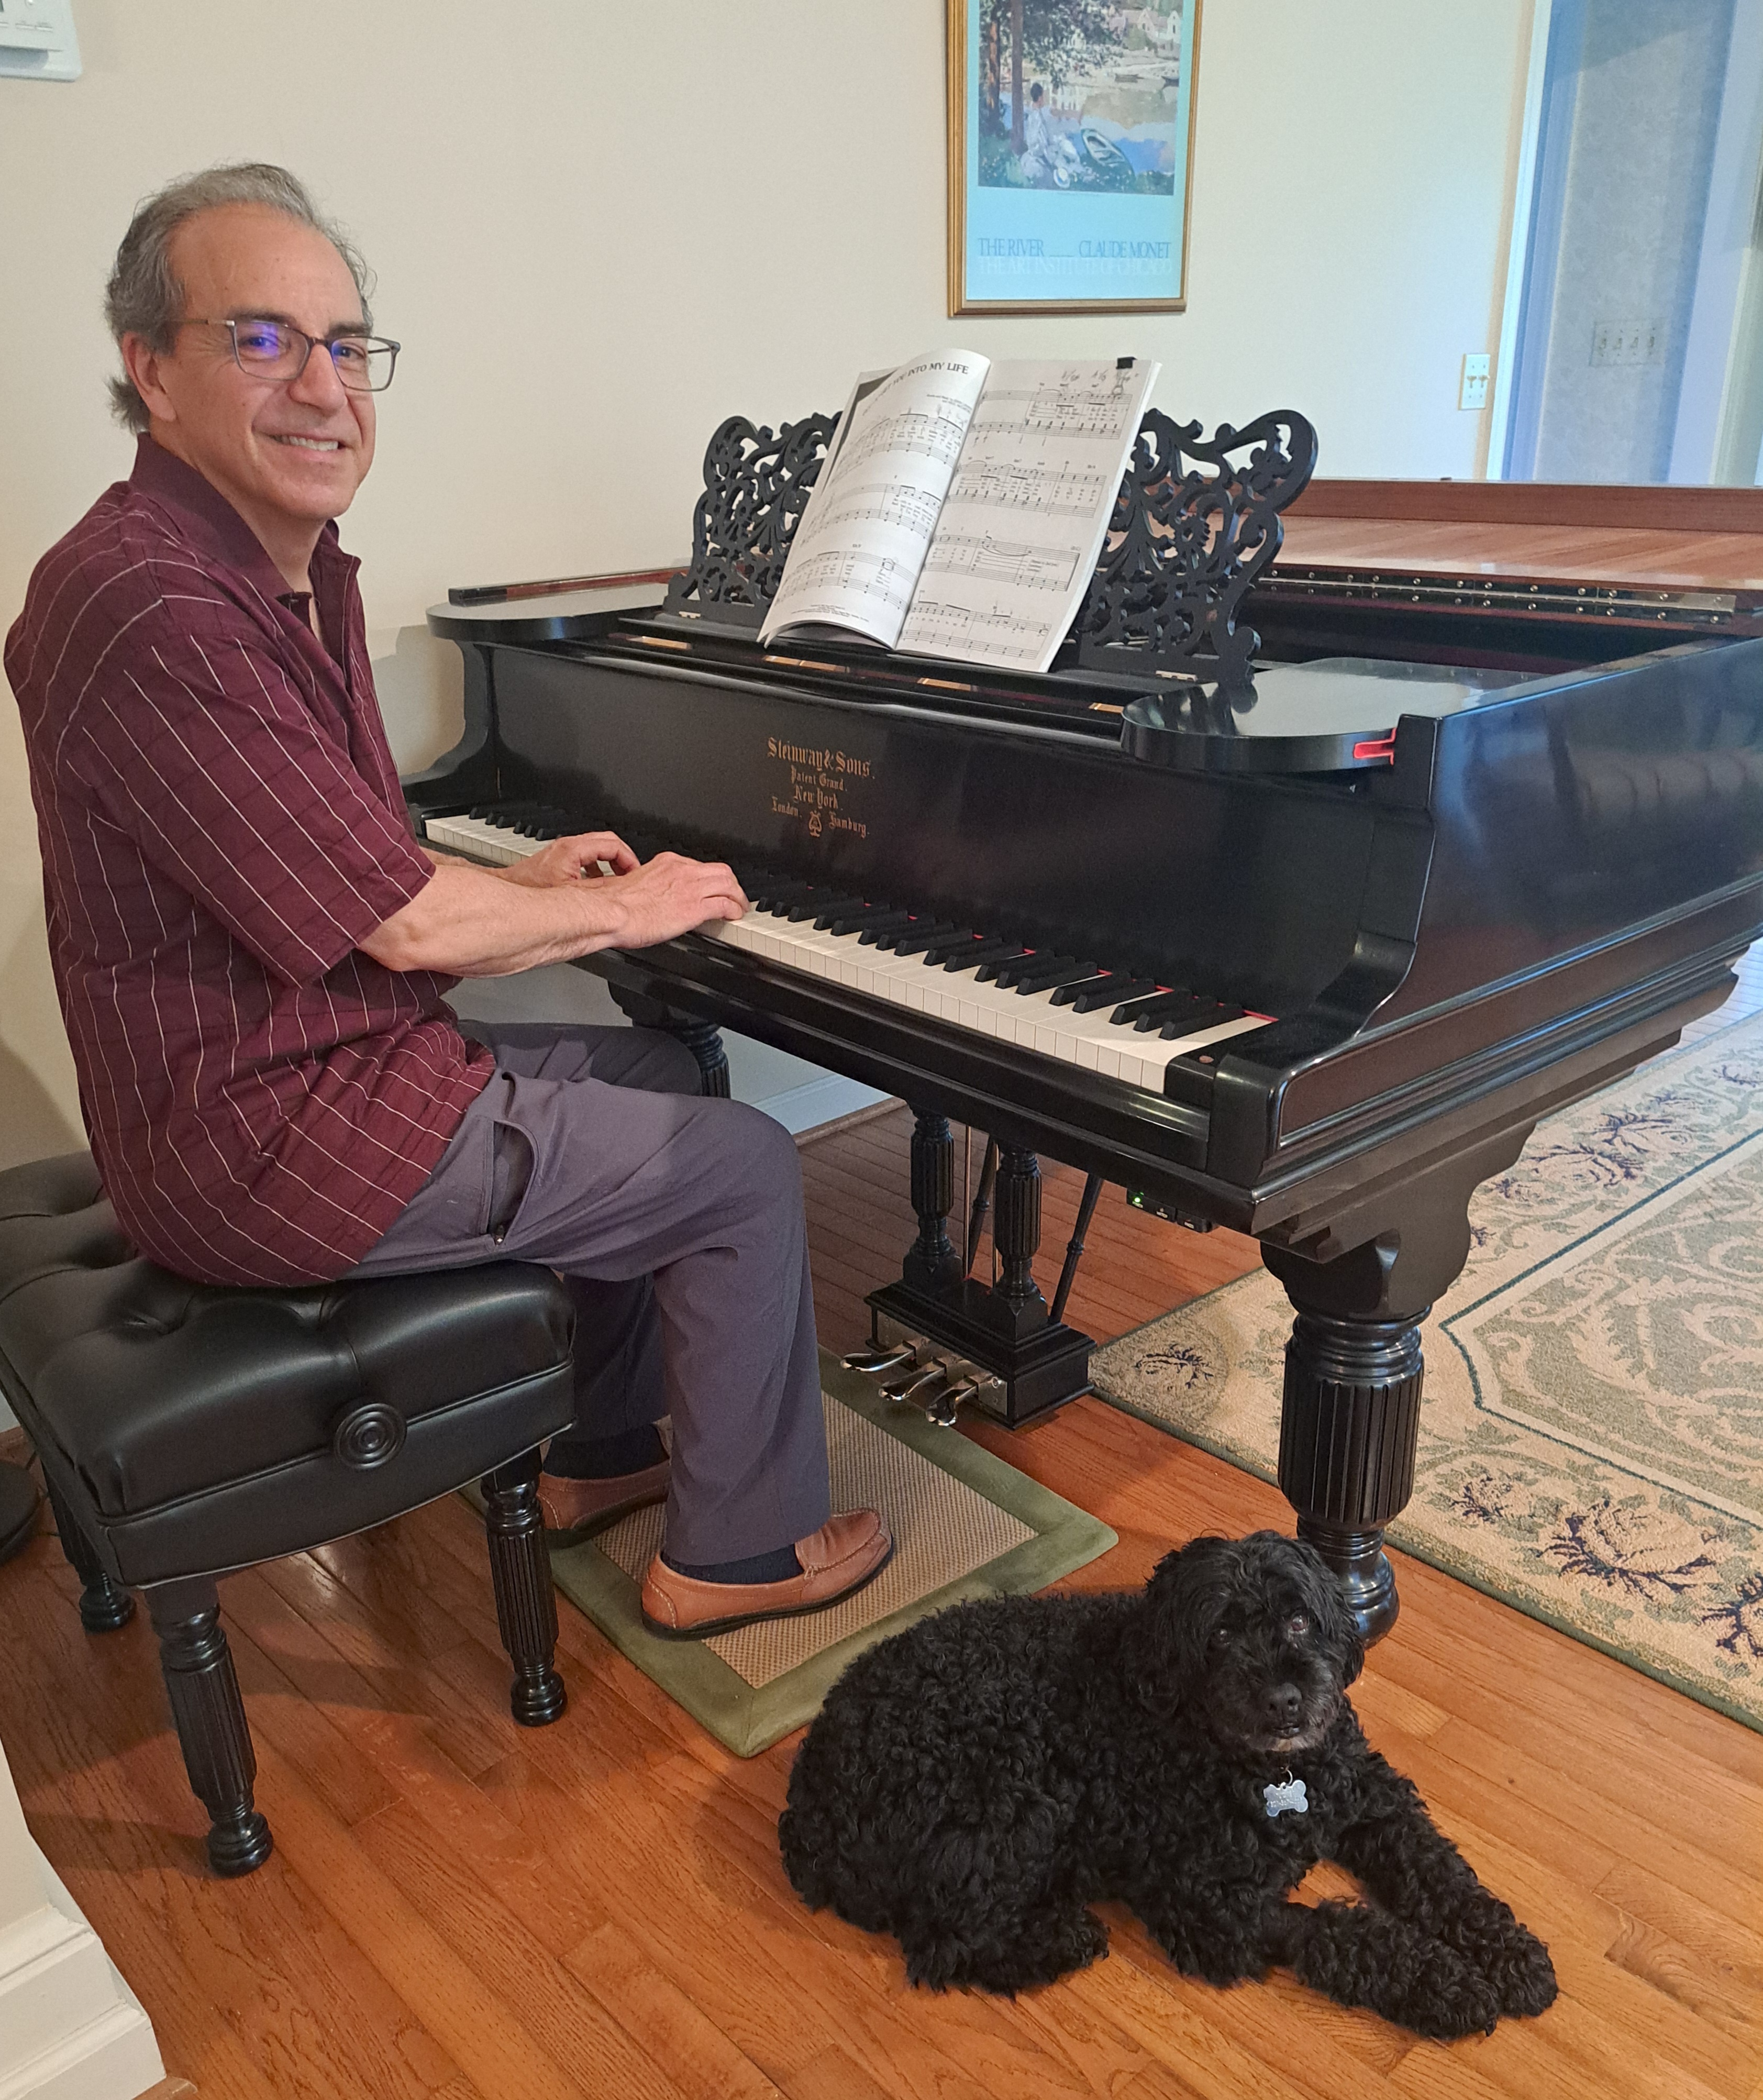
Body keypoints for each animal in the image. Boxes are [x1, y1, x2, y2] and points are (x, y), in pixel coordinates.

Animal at [785, 1529, 1553, 2032]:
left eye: (1298, 1617)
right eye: (1219, 1634)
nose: (1283, 1698)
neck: (1268, 1773)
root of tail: (807, 1809)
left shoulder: (1373, 1799)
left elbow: (1442, 1874)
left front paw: (1508, 1954)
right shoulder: (1208, 1903)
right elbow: (1343, 1933)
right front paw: (1444, 1983)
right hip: (1015, 1802)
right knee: (945, 1944)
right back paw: (1058, 1938)